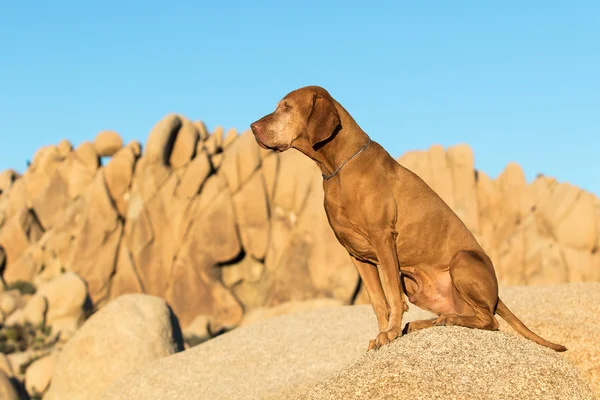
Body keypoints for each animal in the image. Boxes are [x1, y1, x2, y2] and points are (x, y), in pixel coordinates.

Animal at [250, 86, 568, 352]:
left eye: (287, 107)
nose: (253, 127)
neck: (338, 169)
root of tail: (497, 293)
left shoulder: (383, 239)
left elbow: (392, 295)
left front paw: (389, 333)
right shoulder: (357, 255)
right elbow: (378, 301)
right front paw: (382, 334)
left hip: (462, 261)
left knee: (490, 320)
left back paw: (443, 321)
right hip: (421, 289)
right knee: (465, 314)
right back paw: (426, 323)